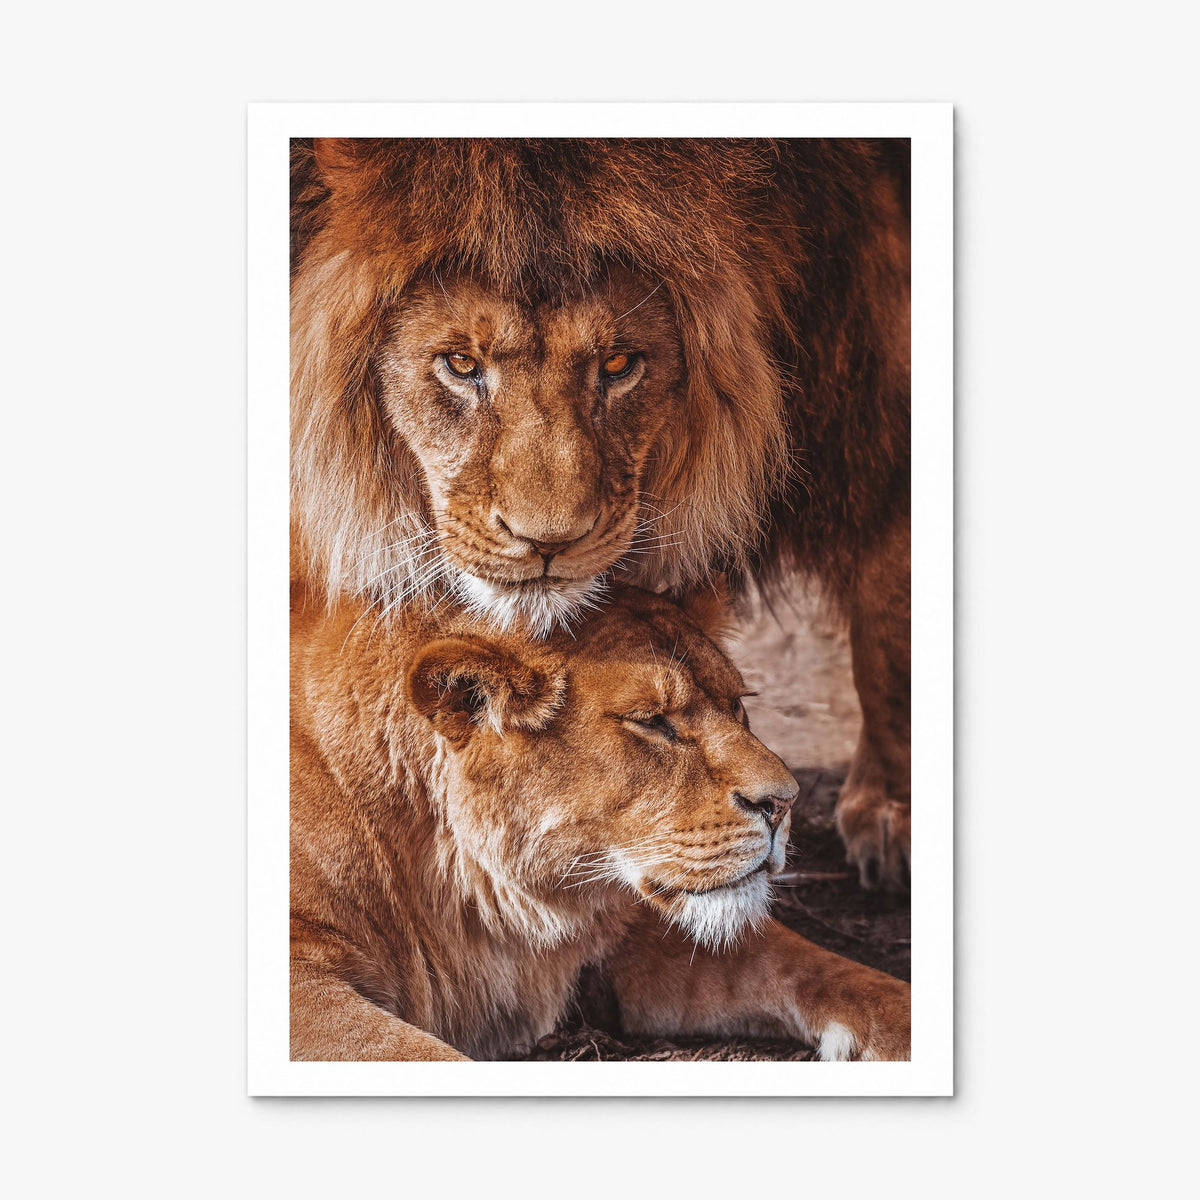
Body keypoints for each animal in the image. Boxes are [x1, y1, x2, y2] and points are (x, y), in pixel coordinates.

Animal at [290, 582, 911, 1062]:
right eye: (652, 721)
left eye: (738, 705)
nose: (785, 802)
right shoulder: (303, 983)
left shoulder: (633, 928)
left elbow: (832, 972)